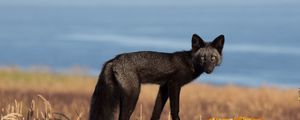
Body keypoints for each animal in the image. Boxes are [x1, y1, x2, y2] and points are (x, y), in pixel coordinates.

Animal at [89, 33, 225, 119]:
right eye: (202, 58)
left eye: (212, 58)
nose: (209, 70)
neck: (190, 63)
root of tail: (114, 59)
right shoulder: (174, 84)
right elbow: (175, 109)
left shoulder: (164, 88)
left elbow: (156, 112)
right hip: (133, 95)